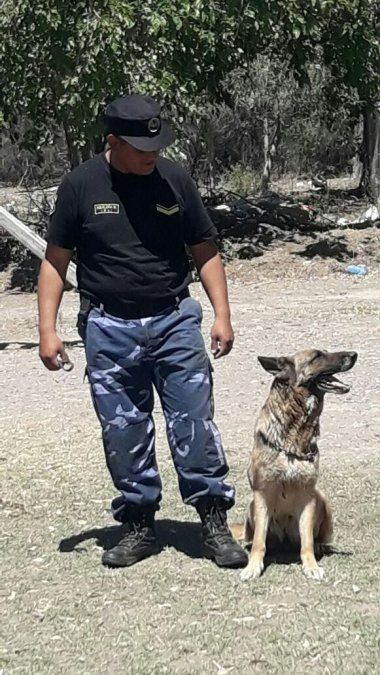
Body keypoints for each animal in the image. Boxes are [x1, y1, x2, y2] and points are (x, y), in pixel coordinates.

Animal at [236, 348, 358, 580]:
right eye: (317, 356)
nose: (354, 354)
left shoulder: (307, 496)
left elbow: (307, 541)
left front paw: (311, 566)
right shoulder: (262, 495)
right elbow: (258, 542)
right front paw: (253, 566)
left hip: (322, 500)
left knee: (316, 539)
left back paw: (320, 547)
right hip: (251, 506)